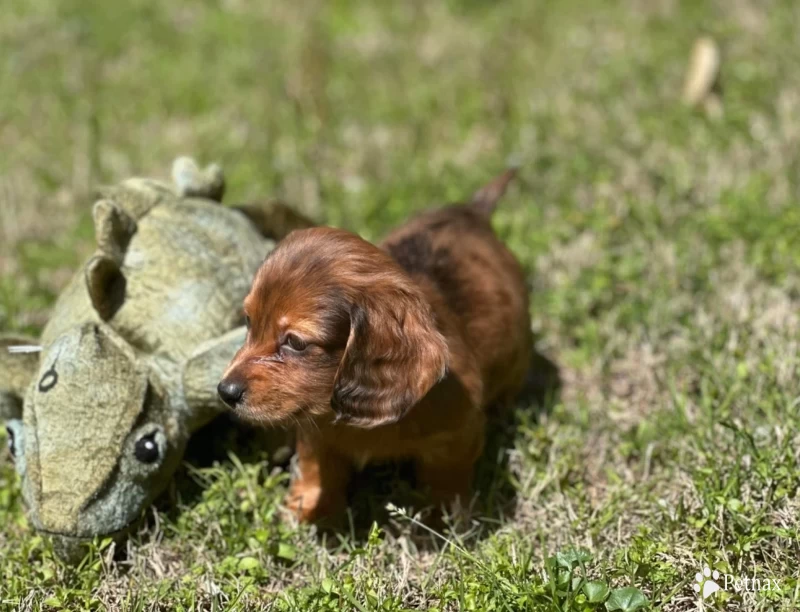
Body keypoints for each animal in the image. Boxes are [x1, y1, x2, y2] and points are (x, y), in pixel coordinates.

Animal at [219, 171, 532, 520]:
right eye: (248, 321)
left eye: (296, 343)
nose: (224, 392)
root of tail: (469, 212)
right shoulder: (313, 431)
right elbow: (315, 465)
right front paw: (307, 508)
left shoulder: (457, 435)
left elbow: (445, 480)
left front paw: (441, 520)